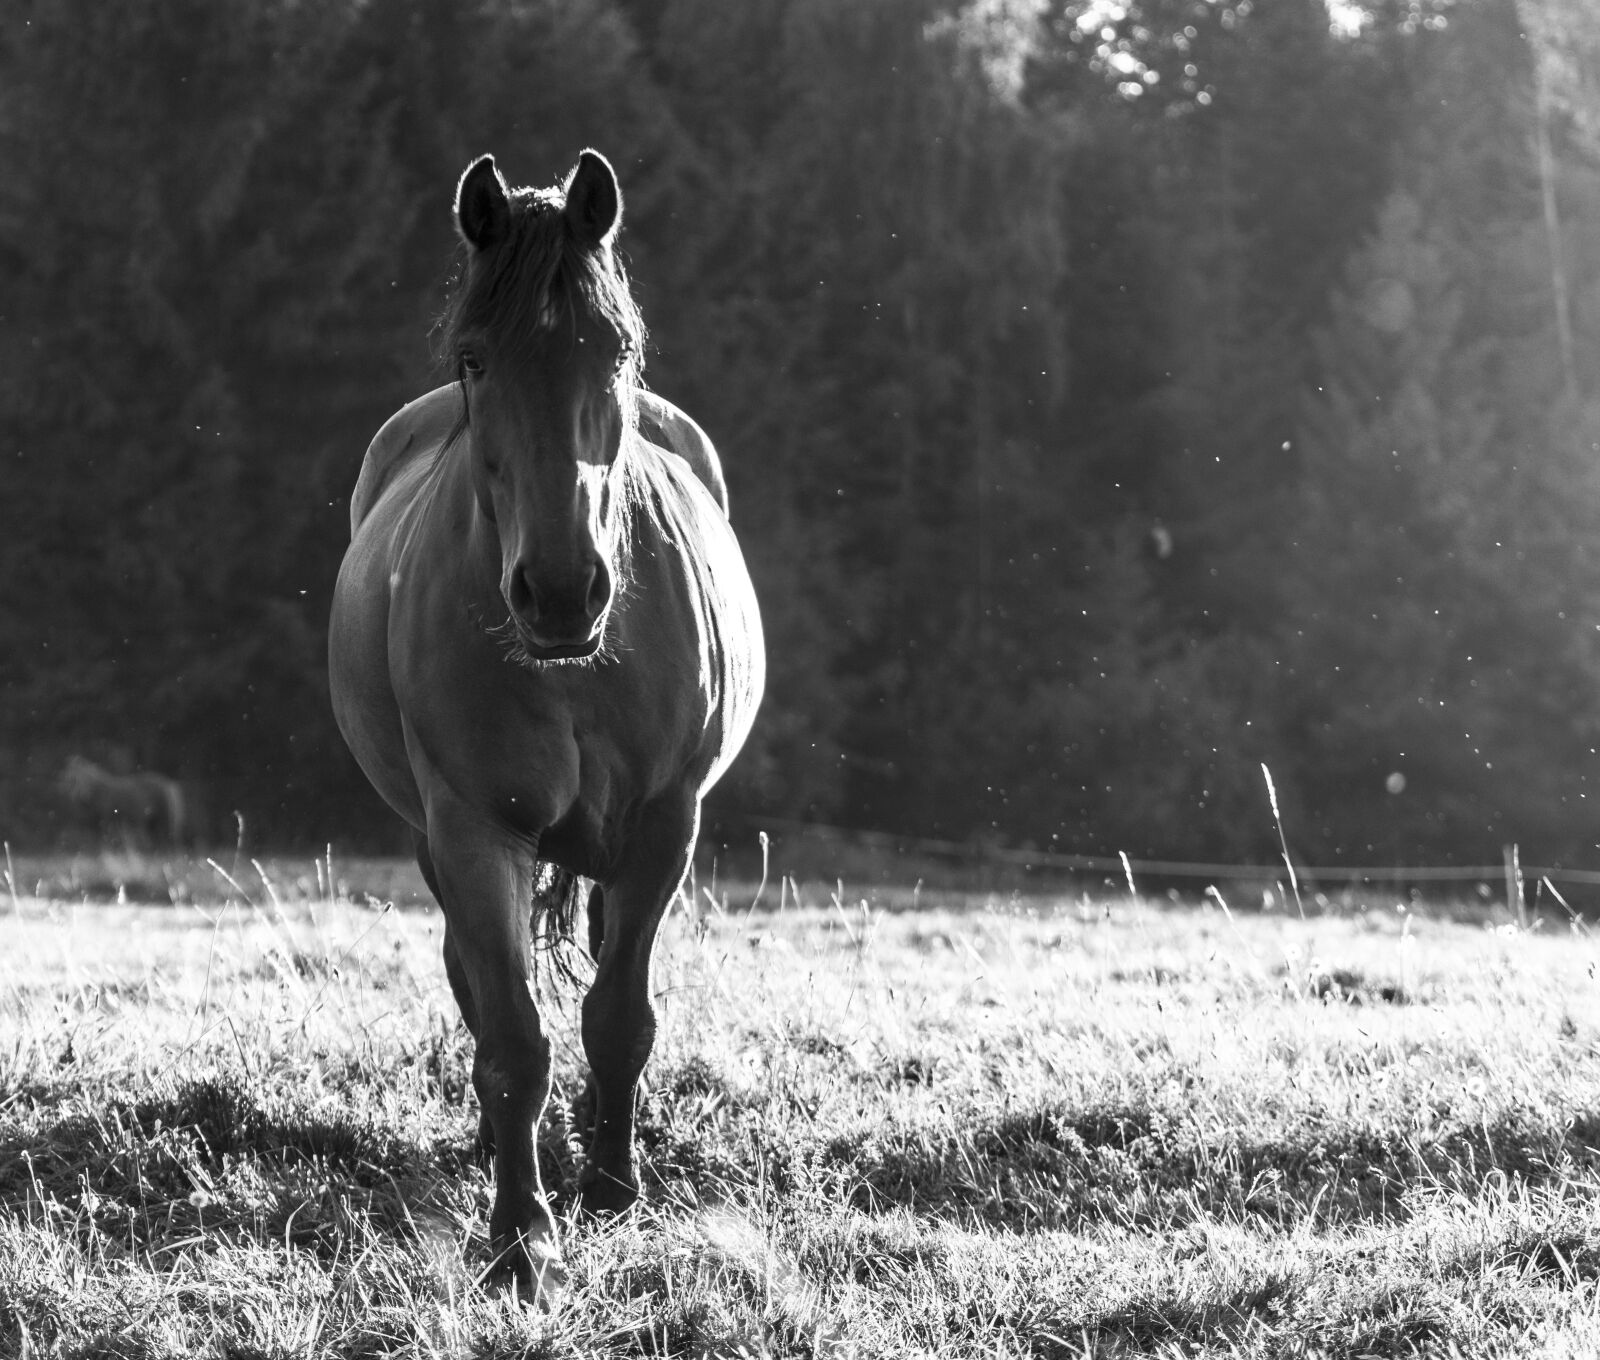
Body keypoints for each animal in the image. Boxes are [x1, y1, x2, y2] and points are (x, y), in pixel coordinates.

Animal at [56, 754, 188, 848]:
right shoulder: (94, 821)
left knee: (170, 839)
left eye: (85, 779)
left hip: (165, 818)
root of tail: (170, 784)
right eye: (71, 780)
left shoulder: (106, 817)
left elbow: (105, 838)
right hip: (152, 822)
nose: (81, 795)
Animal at [327, 150, 764, 1302]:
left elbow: (617, 1017)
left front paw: (611, 1189)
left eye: (616, 353)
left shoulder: (662, 828)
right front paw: (522, 1236)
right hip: (438, 842)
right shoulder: (476, 831)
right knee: (477, 986)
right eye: (477, 358)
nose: (563, 592)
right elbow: (515, 1037)